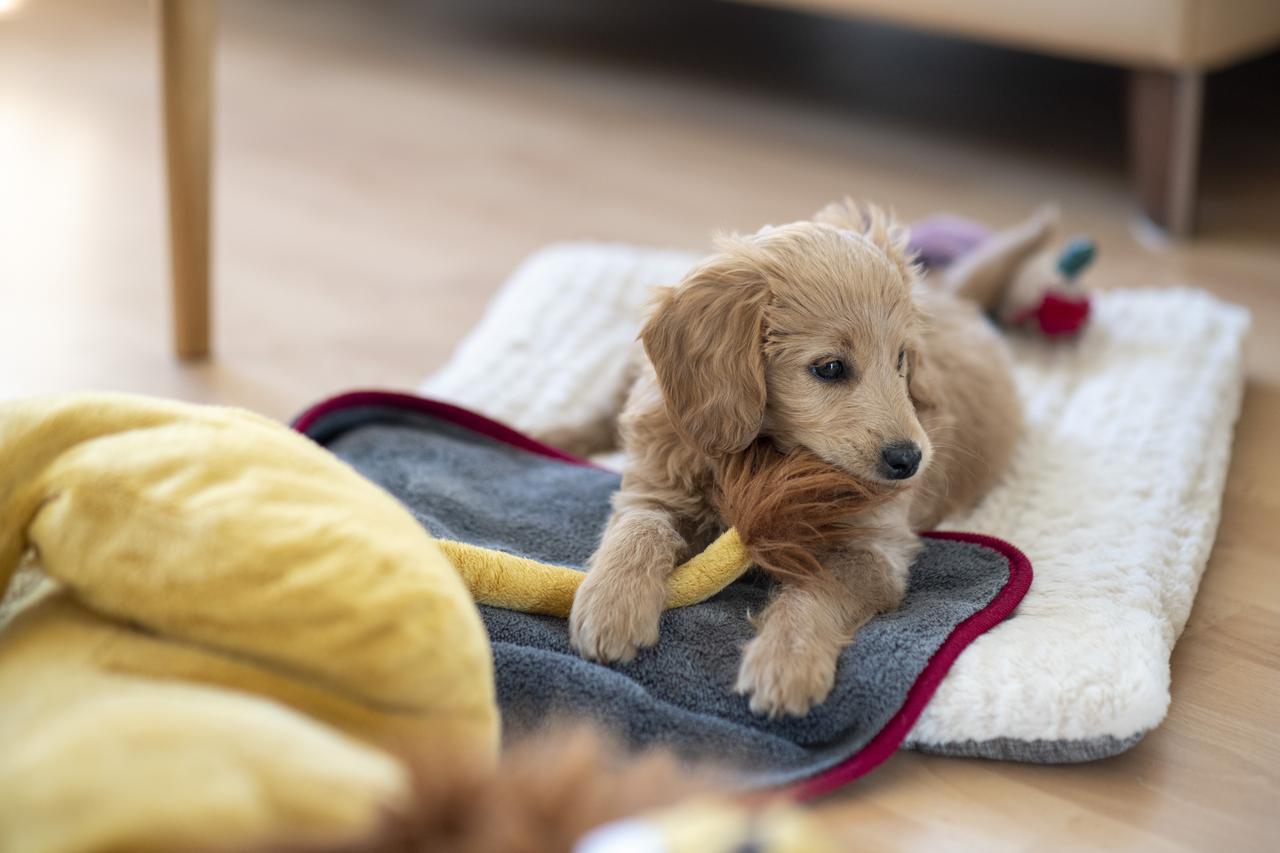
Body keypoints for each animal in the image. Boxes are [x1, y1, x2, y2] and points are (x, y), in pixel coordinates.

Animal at [567, 202, 1022, 717]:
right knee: (601, 416)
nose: (910, 461)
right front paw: (612, 604)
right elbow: (638, 530)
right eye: (830, 368)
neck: (769, 446)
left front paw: (787, 660)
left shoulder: (873, 547)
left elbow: (817, 593)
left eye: (902, 359)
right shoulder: (659, 484)